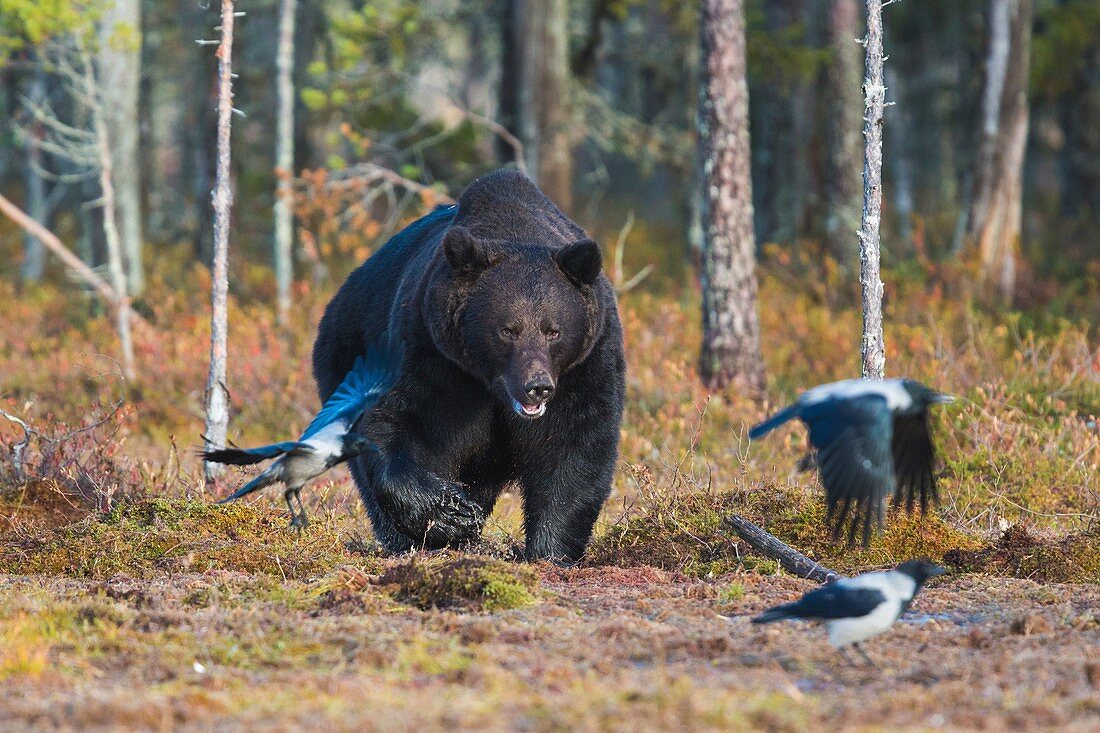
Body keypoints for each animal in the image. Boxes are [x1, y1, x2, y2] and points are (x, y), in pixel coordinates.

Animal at [314, 168, 629, 561]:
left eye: (553, 330)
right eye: (508, 330)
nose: (537, 386)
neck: (490, 384)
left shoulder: (586, 365)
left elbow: (576, 445)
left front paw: (549, 552)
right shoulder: (430, 353)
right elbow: (397, 422)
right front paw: (451, 515)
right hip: (345, 353)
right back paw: (405, 541)